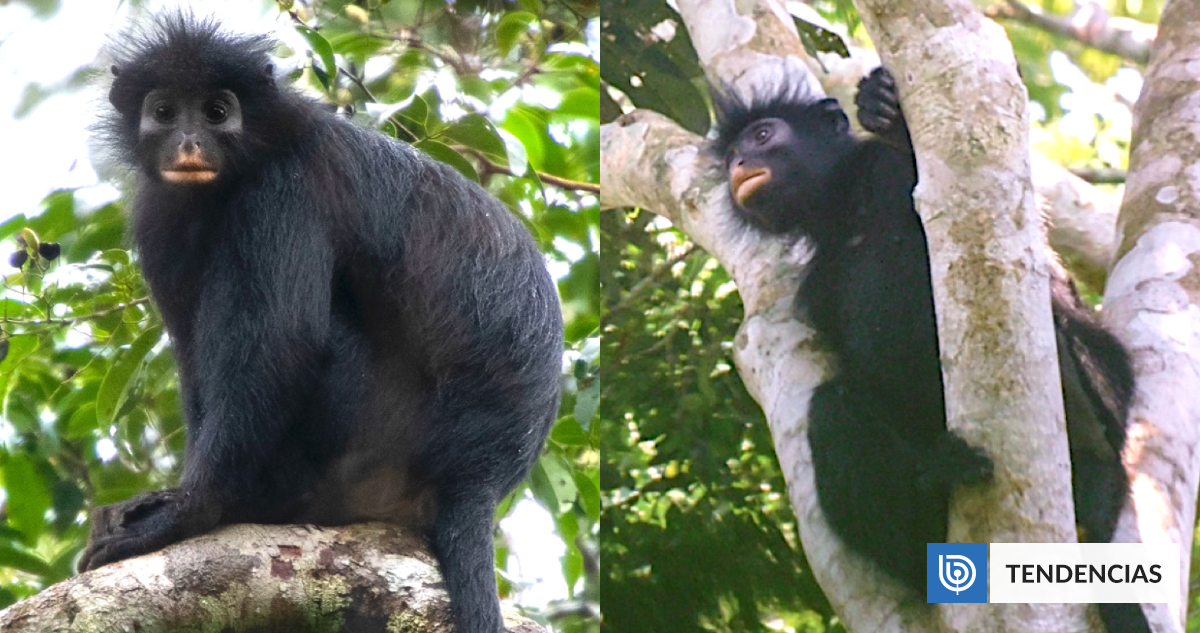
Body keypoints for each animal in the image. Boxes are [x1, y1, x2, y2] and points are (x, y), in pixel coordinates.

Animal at [81, 14, 563, 633]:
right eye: (164, 111)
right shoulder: (159, 217)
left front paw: (193, 510)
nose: (189, 142)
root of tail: (480, 476)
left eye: (216, 112)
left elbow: (280, 344)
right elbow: (191, 358)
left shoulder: (284, 190)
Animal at [712, 67, 1147, 633]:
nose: (740, 164)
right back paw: (935, 485)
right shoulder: (818, 284)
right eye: (730, 157)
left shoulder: (886, 175)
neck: (846, 210)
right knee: (834, 407)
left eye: (763, 136)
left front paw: (890, 115)